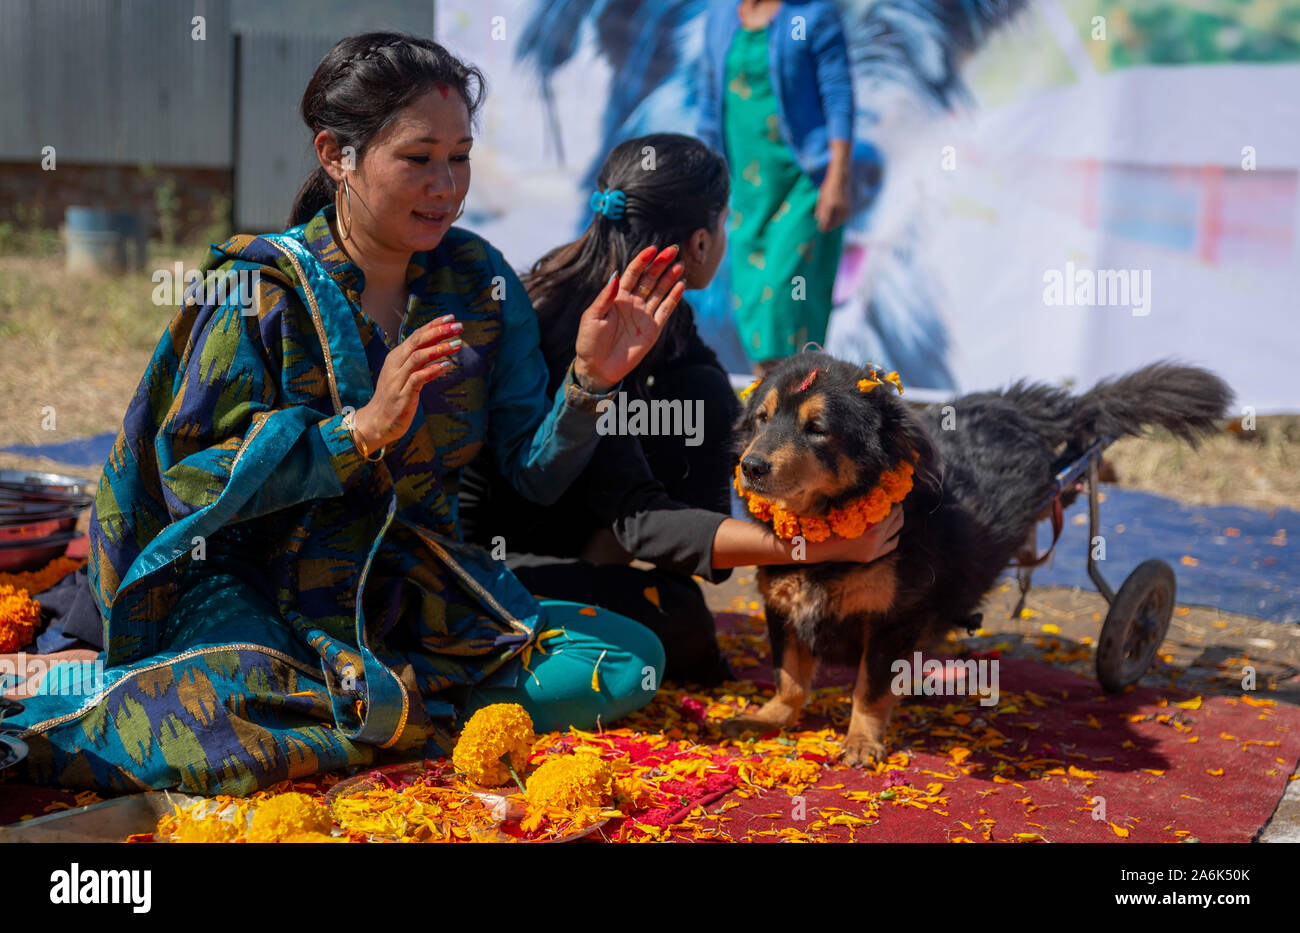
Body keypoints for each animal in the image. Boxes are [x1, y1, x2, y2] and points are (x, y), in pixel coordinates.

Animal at [728, 350, 1232, 769]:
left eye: (817, 429)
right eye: (761, 419)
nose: (750, 467)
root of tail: (1017, 406)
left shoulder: (894, 617)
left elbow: (868, 689)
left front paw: (861, 742)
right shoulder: (782, 607)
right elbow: (790, 678)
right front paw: (769, 718)